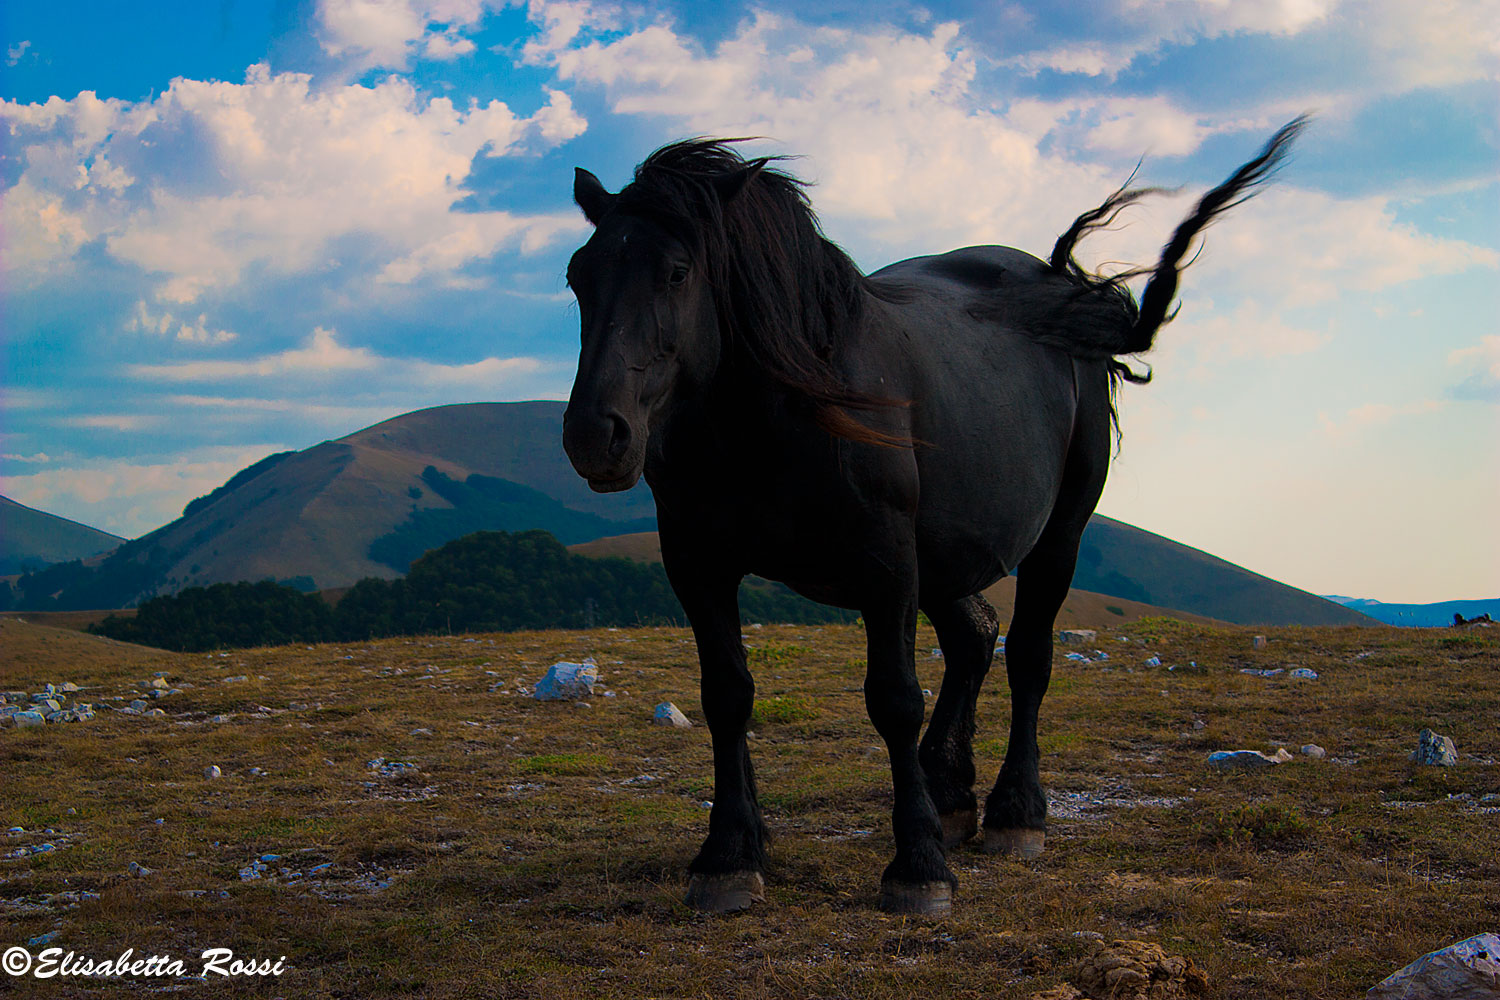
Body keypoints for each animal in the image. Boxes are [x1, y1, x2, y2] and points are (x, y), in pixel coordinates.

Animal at [561, 118, 1306, 915]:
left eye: (676, 273)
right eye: (578, 275)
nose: (594, 434)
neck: (782, 409)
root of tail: (1057, 289)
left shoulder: (885, 561)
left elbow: (893, 699)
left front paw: (917, 866)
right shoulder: (697, 561)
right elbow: (727, 695)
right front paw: (731, 854)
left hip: (1054, 537)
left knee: (1029, 658)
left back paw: (1015, 813)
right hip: (950, 553)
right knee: (975, 638)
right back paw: (950, 796)